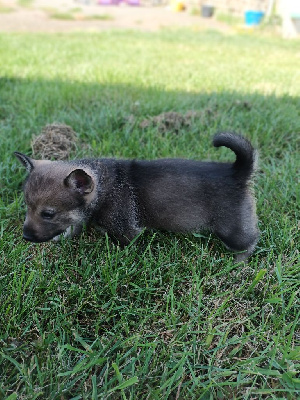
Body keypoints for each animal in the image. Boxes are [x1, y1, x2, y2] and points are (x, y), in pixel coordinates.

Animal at [14, 133, 258, 260]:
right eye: (27, 207)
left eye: (48, 214)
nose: (25, 237)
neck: (102, 188)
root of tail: (236, 171)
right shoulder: (80, 218)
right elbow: (74, 227)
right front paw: (61, 239)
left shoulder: (127, 231)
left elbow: (121, 244)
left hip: (231, 228)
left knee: (249, 241)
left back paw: (238, 263)